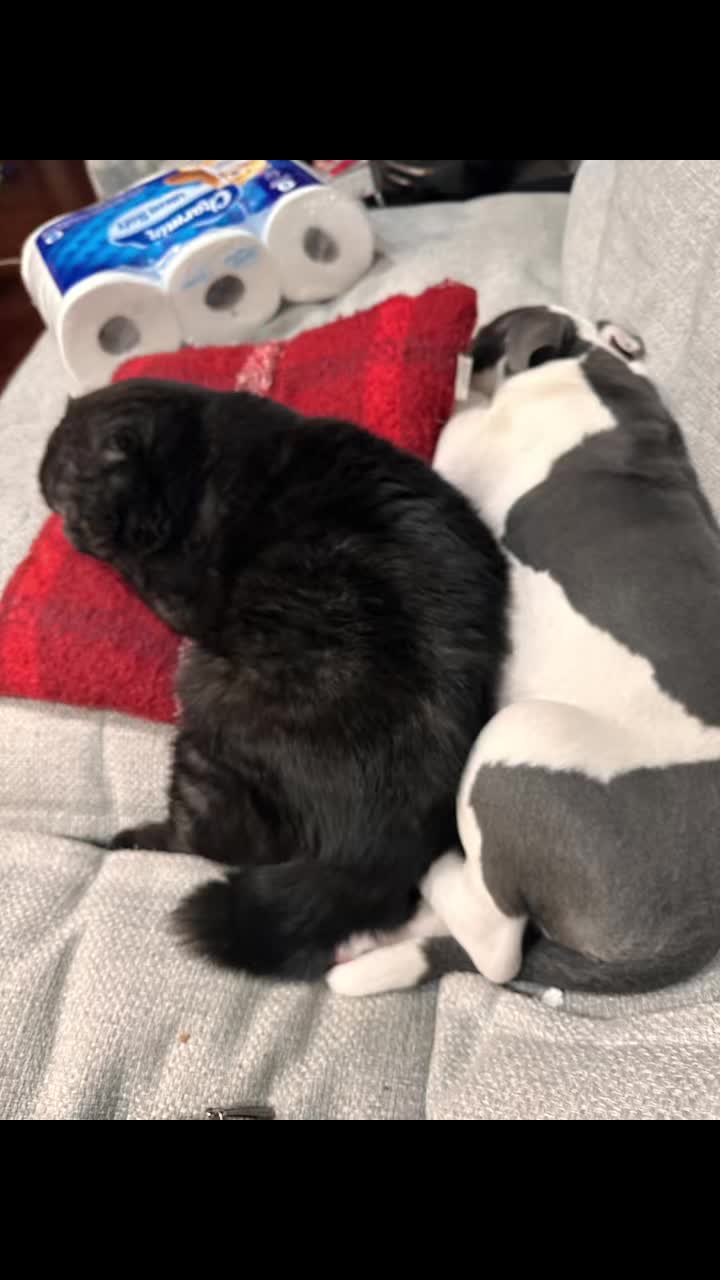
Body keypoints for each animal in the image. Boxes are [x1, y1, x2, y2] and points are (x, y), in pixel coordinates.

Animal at [40, 379, 507, 980]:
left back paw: (120, 841)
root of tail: (372, 848)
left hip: (205, 717)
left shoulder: (181, 593)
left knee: (211, 842)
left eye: (70, 501)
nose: (74, 533)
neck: (195, 443)